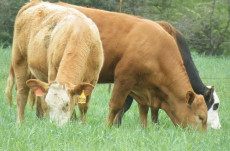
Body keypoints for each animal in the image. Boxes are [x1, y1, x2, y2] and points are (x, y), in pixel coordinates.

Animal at [56, 1, 208, 130]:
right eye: (201, 117)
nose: (203, 137)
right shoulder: (124, 77)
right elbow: (117, 105)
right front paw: (109, 126)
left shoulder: (141, 87)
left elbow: (143, 108)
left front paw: (144, 129)